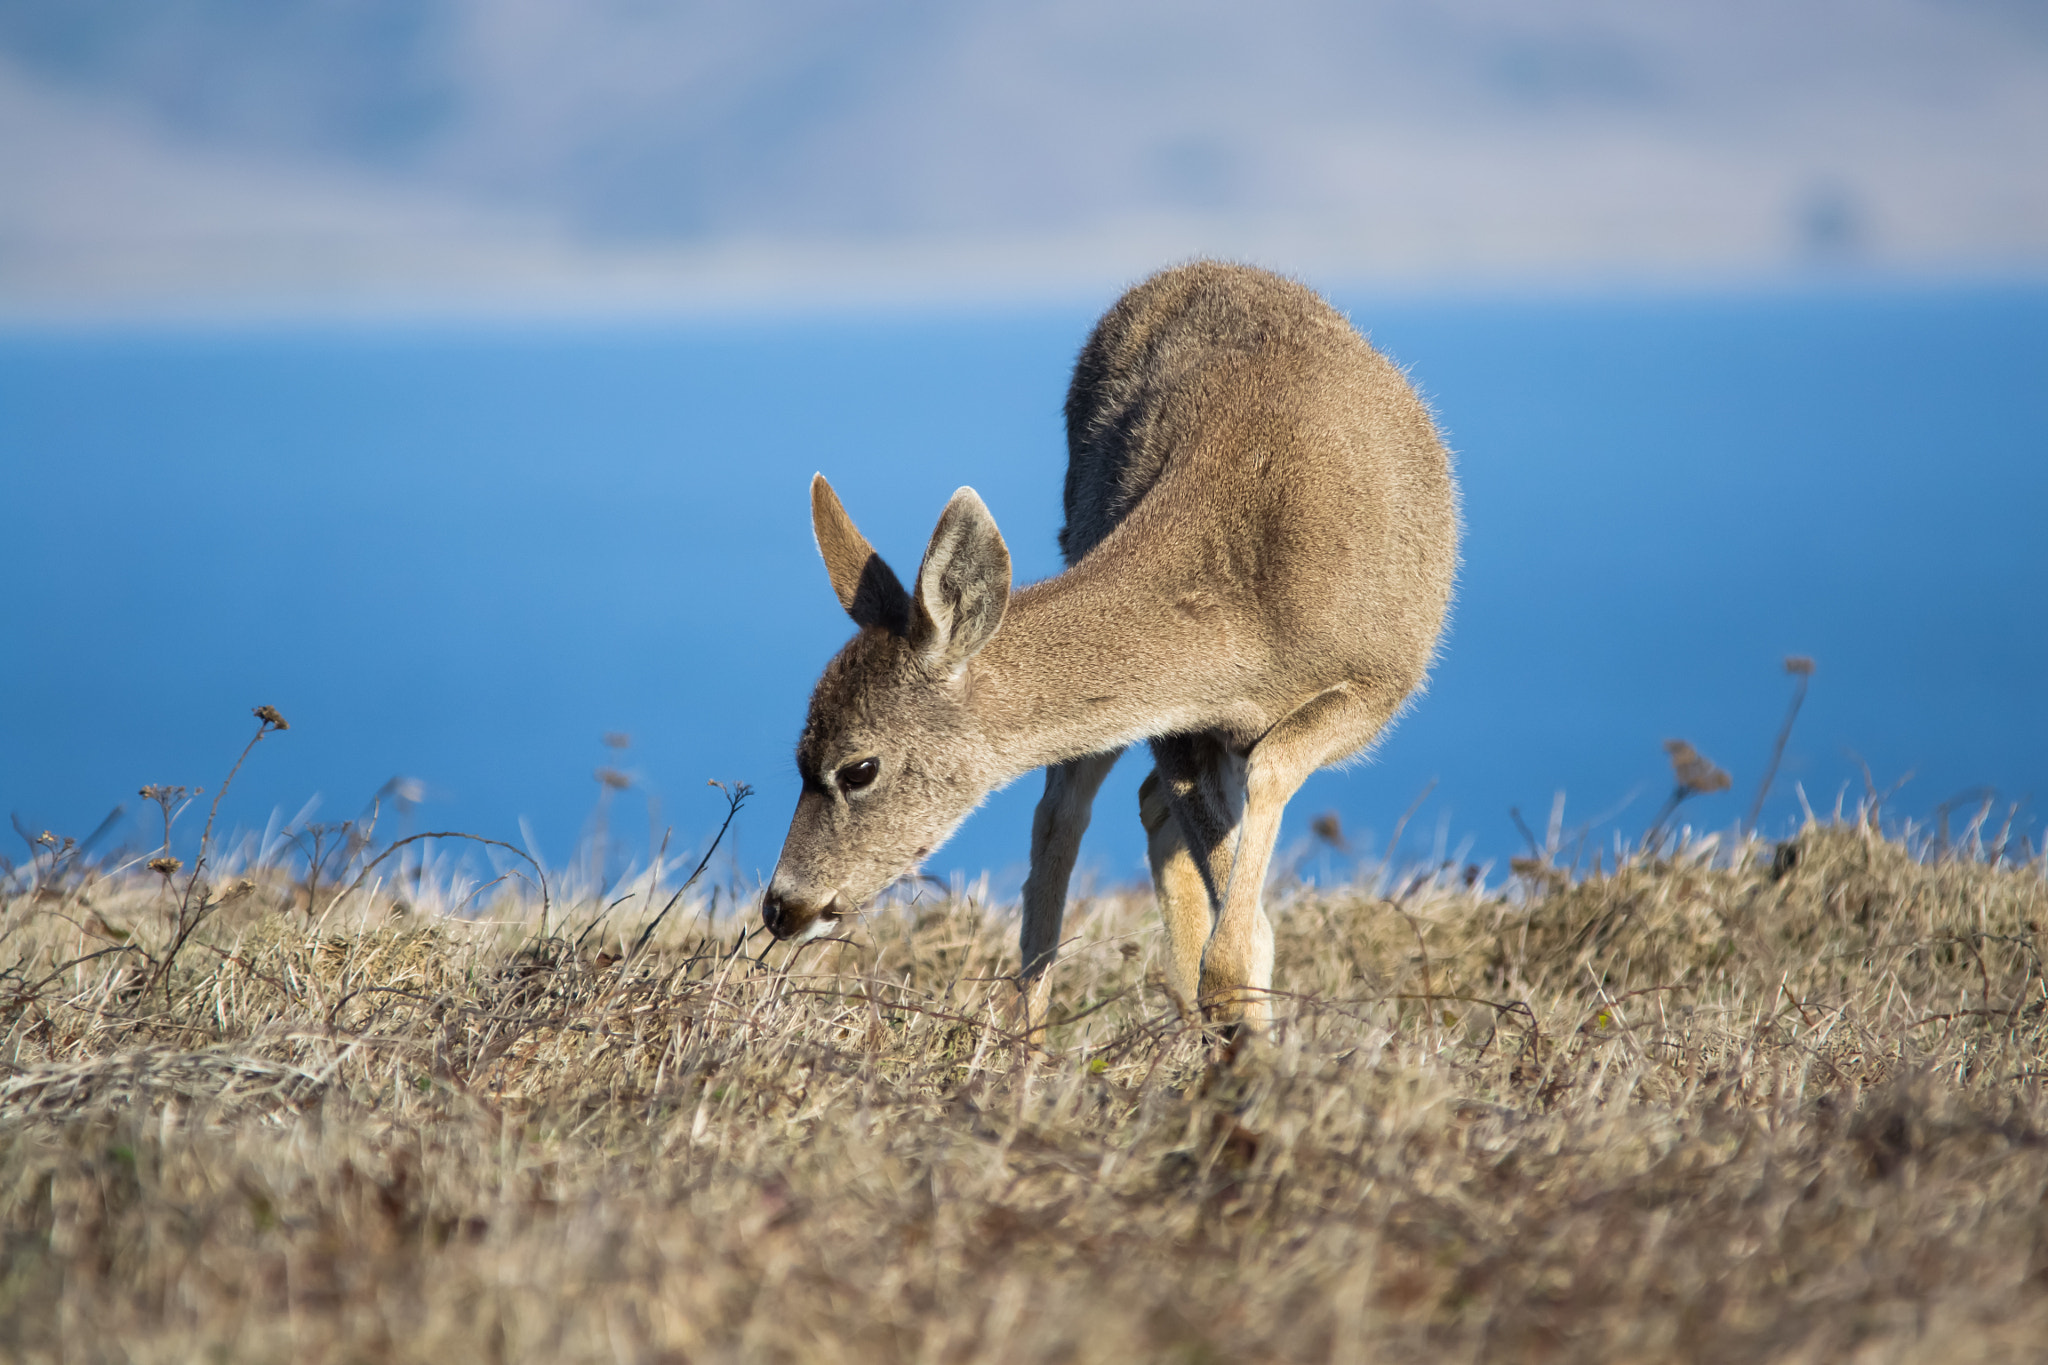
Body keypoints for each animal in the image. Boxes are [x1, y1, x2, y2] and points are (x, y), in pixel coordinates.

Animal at [759, 261, 1458, 1031]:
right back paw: (1028, 1037)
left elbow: (1269, 788)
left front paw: (1238, 1016)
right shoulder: (1178, 726)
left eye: (858, 768)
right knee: (1067, 811)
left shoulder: (1380, 678)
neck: (1249, 630)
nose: (782, 905)